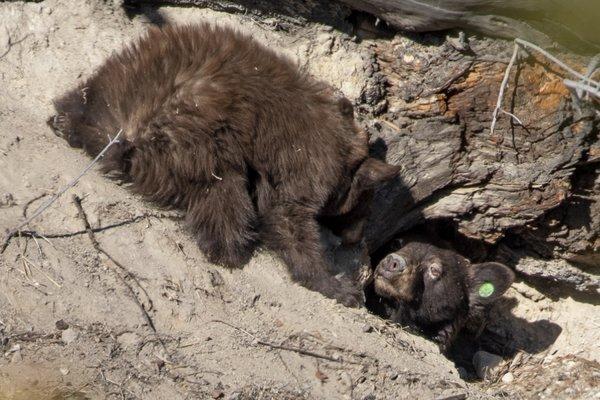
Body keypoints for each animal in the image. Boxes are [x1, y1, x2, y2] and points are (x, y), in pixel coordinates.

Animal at [47, 23, 398, 308]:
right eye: (364, 206)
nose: (356, 239)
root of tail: (127, 128)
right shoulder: (307, 159)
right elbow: (288, 214)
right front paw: (333, 284)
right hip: (199, 140)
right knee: (222, 190)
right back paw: (229, 249)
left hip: (118, 80)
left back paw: (64, 121)